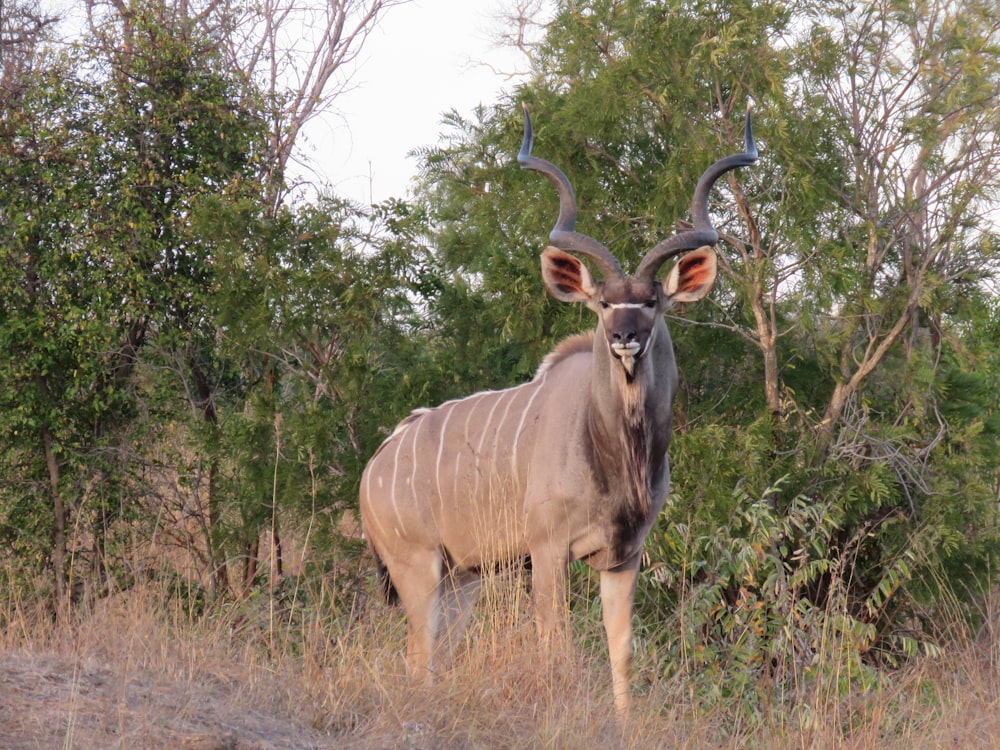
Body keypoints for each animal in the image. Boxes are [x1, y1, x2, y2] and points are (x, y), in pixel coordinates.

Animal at [362, 106, 756, 716]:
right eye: (603, 303)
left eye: (651, 301)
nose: (623, 337)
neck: (614, 451)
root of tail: (374, 466)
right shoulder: (546, 553)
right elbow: (556, 644)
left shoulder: (623, 557)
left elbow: (622, 651)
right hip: (417, 568)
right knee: (417, 655)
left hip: (462, 578)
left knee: (434, 654)